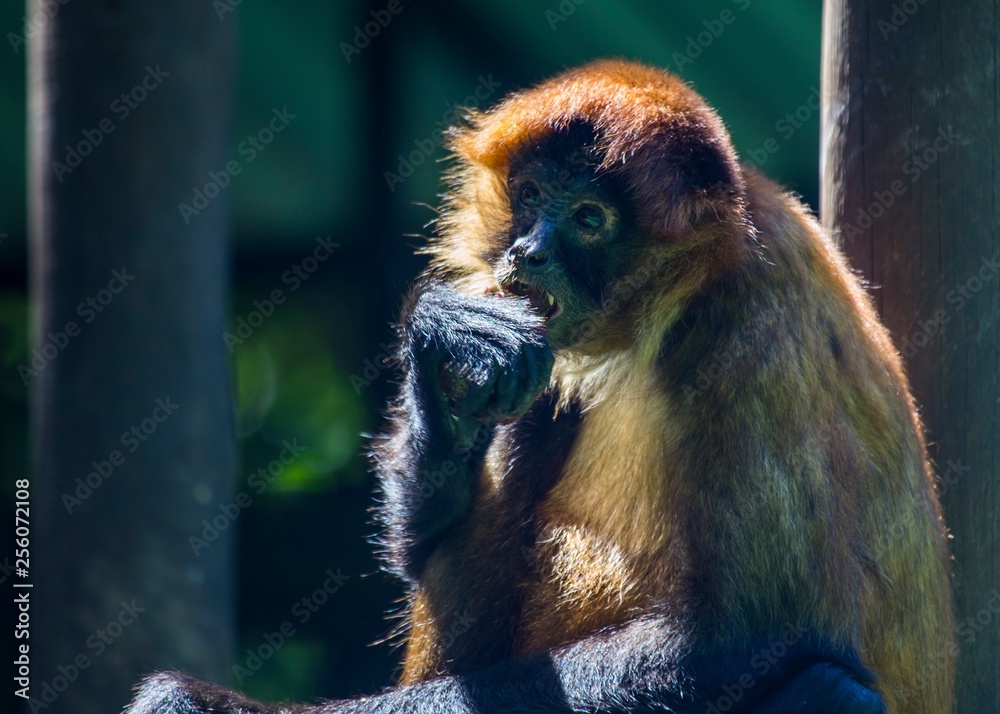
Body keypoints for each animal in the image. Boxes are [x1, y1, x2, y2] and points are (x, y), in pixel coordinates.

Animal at [128, 59, 954, 714]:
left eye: (588, 218)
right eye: (529, 195)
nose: (528, 251)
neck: (667, 313)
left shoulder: (751, 319)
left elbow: (746, 635)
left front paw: (192, 704)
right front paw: (443, 353)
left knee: (831, 687)